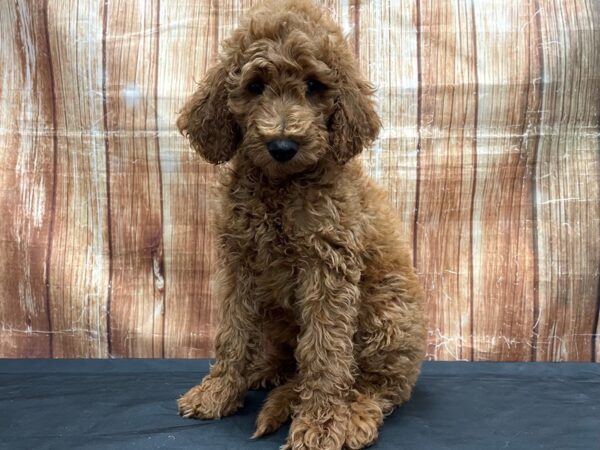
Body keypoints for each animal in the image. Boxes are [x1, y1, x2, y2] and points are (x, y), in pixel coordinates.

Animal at [175, 1, 426, 448]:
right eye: (255, 86)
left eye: (313, 85)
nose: (282, 145)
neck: (280, 185)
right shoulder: (239, 264)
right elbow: (231, 333)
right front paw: (219, 392)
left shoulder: (328, 266)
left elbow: (324, 351)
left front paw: (320, 424)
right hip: (277, 316)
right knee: (288, 358)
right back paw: (265, 374)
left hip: (389, 316)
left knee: (382, 387)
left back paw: (353, 415)